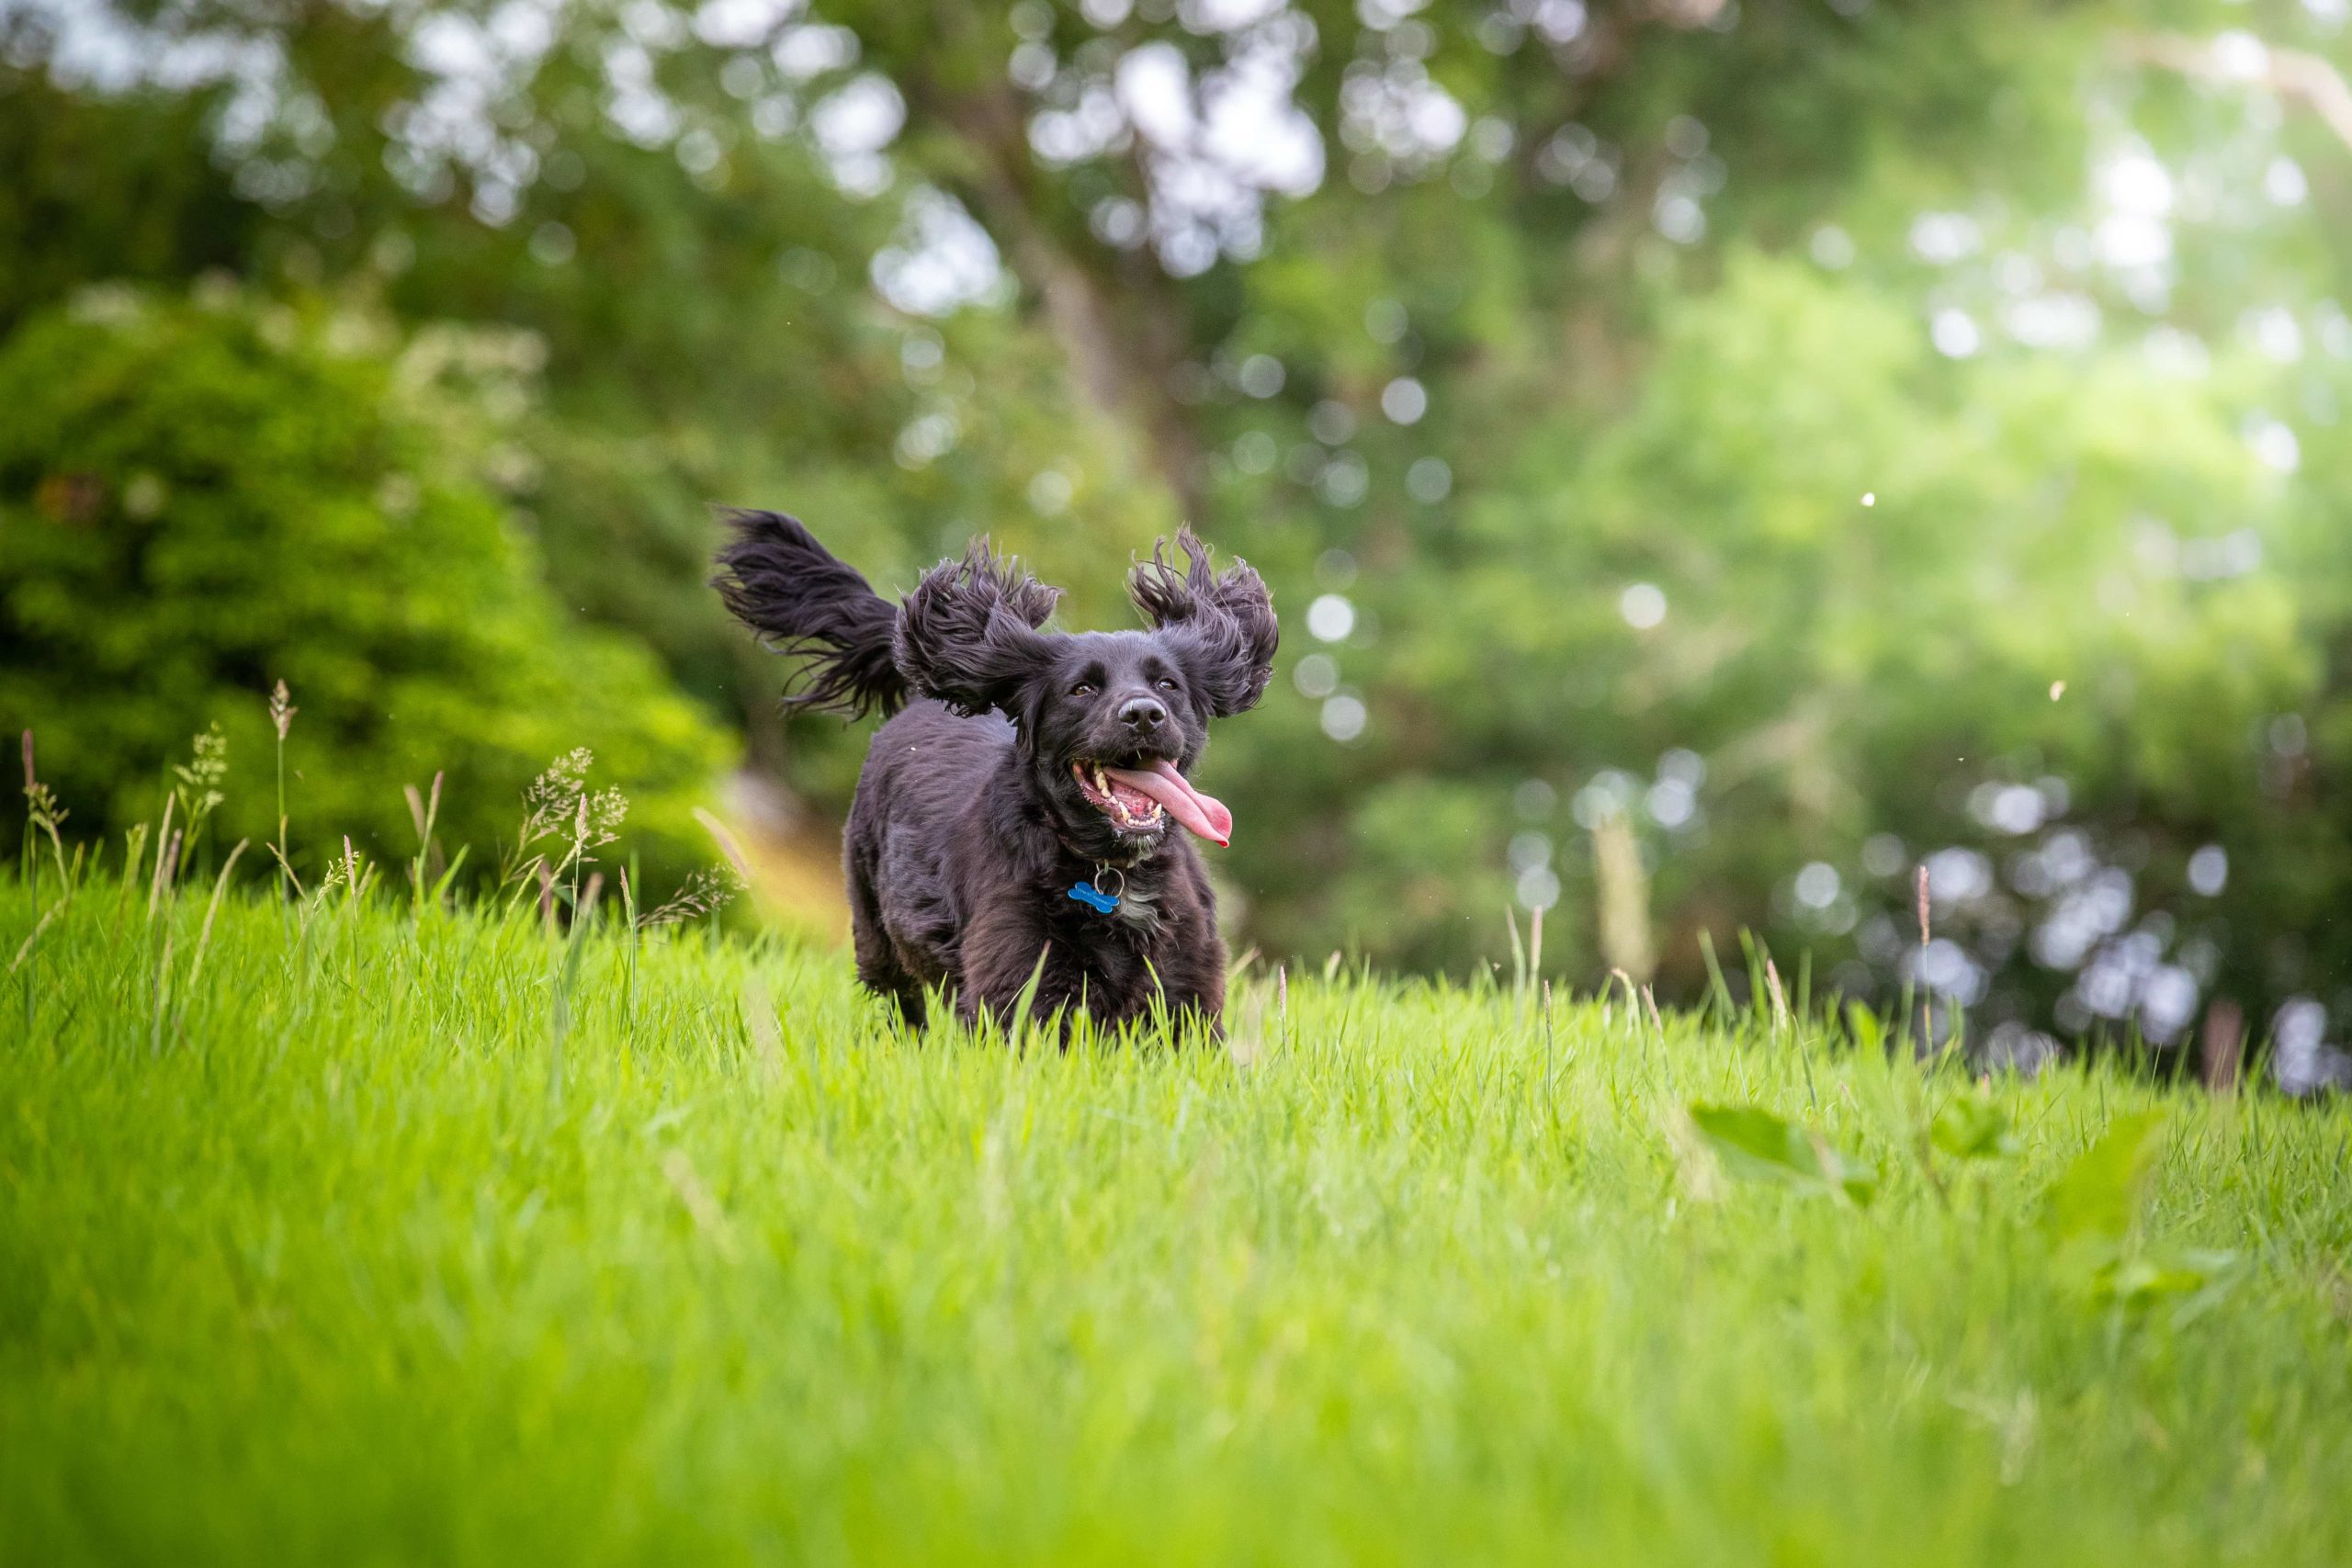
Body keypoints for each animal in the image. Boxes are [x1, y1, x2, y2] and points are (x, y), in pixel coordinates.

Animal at [710, 510, 1279, 1034]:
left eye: (1167, 685)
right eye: (1082, 689)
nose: (1143, 714)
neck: (1111, 872)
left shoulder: (1186, 983)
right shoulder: (1020, 980)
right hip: (875, 928)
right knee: (900, 999)